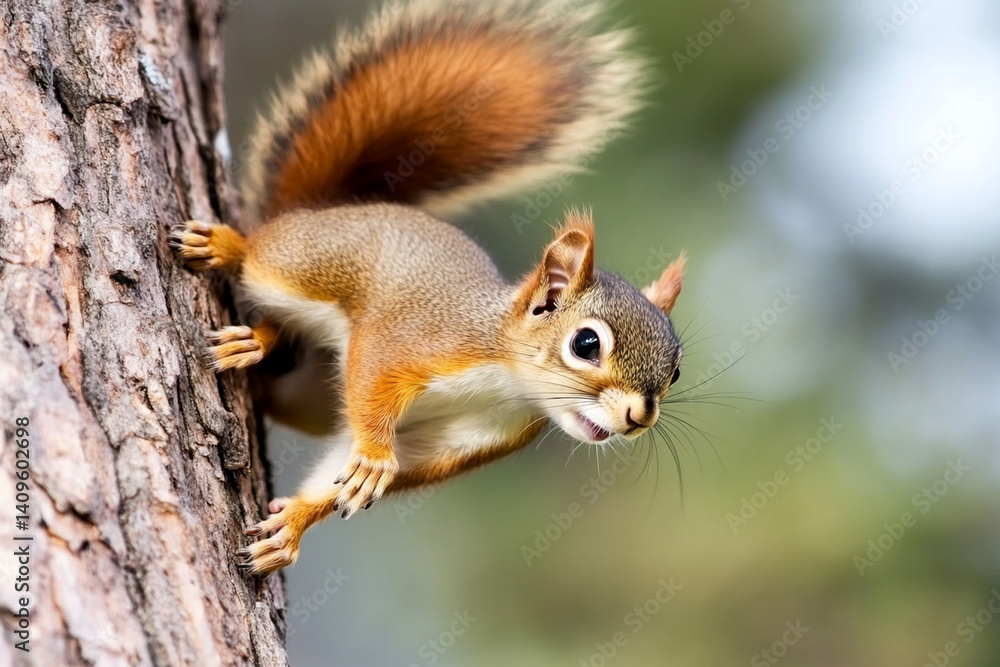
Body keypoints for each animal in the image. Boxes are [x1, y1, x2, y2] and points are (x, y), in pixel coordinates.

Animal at [170, 0, 685, 576]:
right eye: (586, 343)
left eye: (676, 371)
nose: (639, 418)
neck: (505, 376)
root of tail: (327, 209)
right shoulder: (419, 341)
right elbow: (373, 380)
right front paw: (375, 456)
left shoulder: (462, 438)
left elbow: (348, 466)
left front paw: (294, 525)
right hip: (305, 263)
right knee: (258, 257)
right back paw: (228, 255)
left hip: (307, 391)